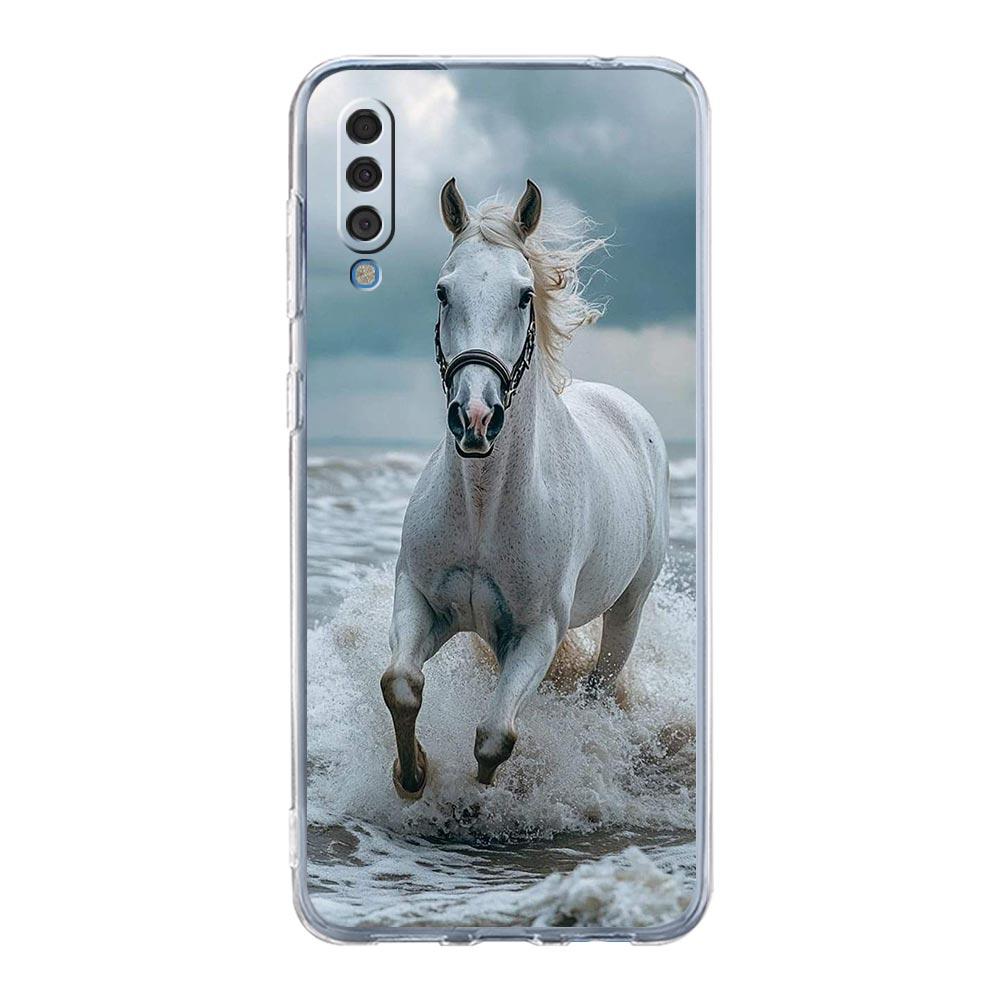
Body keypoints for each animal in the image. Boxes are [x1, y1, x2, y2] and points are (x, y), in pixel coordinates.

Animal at [380, 178, 670, 799]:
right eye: (443, 291)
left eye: (522, 296)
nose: (475, 419)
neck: (484, 509)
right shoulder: (423, 599)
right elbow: (402, 683)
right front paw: (411, 774)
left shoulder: (537, 633)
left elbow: (495, 736)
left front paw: (477, 798)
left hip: (628, 609)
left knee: (598, 686)